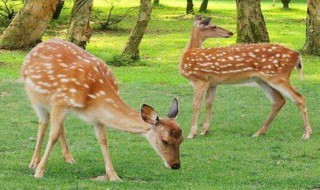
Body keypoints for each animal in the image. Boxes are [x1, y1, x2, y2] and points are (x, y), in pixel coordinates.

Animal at [21, 39, 184, 181]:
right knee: (43, 122)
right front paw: (39, 172)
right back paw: (34, 162)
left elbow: (103, 140)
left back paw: (68, 158)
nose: (176, 165)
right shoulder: (59, 102)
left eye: (182, 139)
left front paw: (113, 176)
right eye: (164, 140)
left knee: (60, 126)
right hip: (34, 97)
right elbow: (52, 136)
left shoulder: (96, 117)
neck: (94, 98)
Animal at [180, 16, 312, 140]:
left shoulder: (199, 79)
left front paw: (191, 134)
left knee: (299, 98)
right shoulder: (212, 83)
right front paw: (204, 131)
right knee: (278, 100)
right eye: (213, 26)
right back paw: (259, 132)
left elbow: (196, 105)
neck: (187, 54)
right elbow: (209, 103)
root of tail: (297, 54)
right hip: (262, 79)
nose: (230, 33)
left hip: (278, 76)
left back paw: (307, 134)